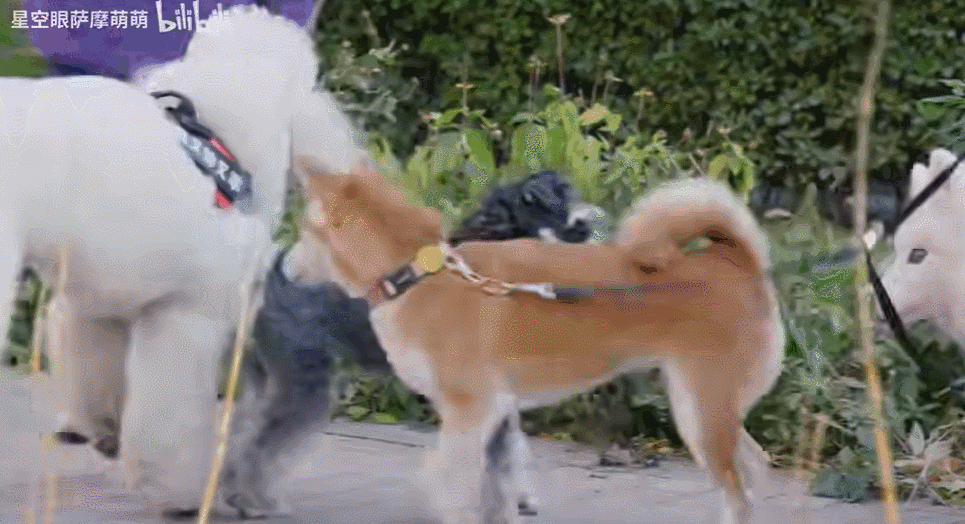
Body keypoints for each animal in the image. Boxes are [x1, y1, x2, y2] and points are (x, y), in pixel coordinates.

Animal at [0, 6, 370, 516]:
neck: (219, 138)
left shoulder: (97, 301)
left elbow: (94, 364)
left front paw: (104, 430)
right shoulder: (189, 313)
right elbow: (168, 415)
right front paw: (180, 495)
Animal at [220, 170, 608, 516]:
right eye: (559, 206)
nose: (591, 228)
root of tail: (268, 273)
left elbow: (510, 446)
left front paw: (520, 497)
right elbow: (504, 449)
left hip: (264, 375)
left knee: (239, 430)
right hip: (303, 381)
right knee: (262, 441)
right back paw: (253, 501)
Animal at [293, 159, 784, 524]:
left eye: (303, 231)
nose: (285, 266)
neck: (420, 272)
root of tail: (735, 258)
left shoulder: (471, 412)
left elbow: (452, 488)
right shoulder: (494, 418)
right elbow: (496, 494)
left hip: (700, 412)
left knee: (738, 493)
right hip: (709, 411)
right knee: (755, 468)